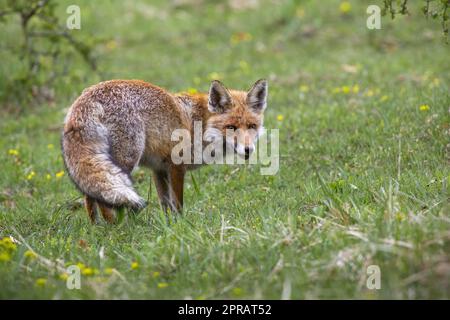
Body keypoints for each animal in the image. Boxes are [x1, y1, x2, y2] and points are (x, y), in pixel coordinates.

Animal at [62, 79, 268, 222]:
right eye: (231, 127)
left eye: (252, 126)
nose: (248, 149)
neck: (200, 124)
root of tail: (85, 99)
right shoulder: (176, 165)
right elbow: (178, 203)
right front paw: (181, 225)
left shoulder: (158, 169)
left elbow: (165, 203)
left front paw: (168, 225)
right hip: (125, 161)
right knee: (102, 198)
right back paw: (114, 227)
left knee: (89, 195)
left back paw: (96, 227)